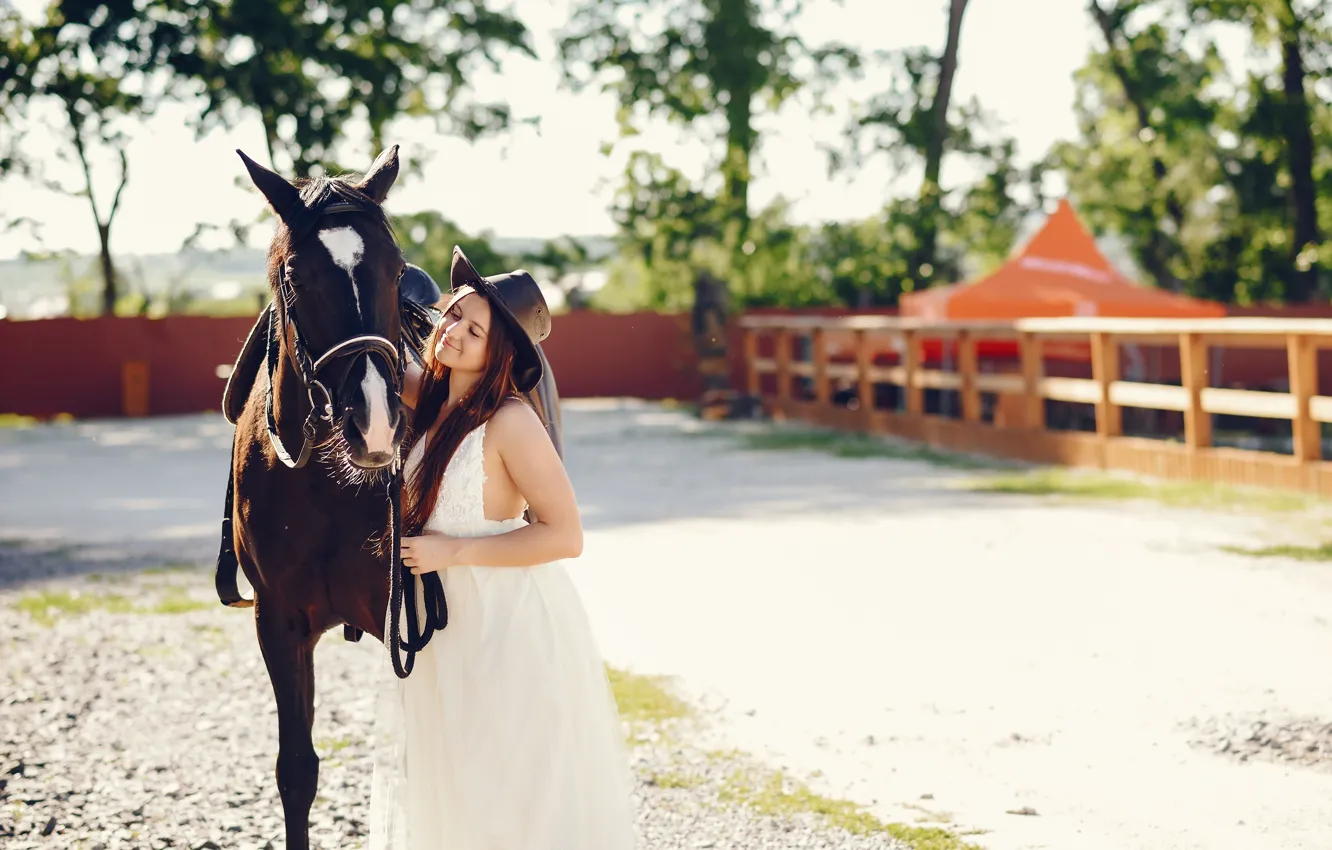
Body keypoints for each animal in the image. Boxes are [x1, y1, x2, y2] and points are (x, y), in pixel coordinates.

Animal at [214, 146, 563, 849]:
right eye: (294, 276)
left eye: (394, 268)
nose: (374, 420)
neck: (323, 484)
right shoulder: (278, 622)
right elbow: (297, 771)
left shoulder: (405, 614)